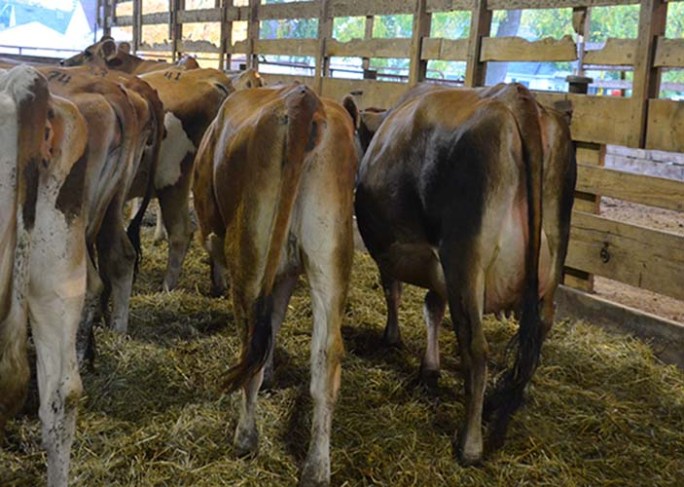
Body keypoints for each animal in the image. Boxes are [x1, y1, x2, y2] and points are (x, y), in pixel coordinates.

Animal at [192, 84, 359, 486]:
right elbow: (276, 320)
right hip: (330, 258)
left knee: (250, 340)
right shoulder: (287, 271)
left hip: (250, 249)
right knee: (326, 356)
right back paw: (317, 467)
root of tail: (304, 99)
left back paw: (245, 437)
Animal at [354, 82, 576, 465]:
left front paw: (392, 337)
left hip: (465, 256)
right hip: (552, 257)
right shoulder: (438, 265)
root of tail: (518, 97)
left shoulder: (394, 251)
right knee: (538, 333)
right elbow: (432, 305)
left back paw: (470, 444)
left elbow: (394, 291)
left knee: (476, 348)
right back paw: (509, 398)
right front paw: (429, 368)